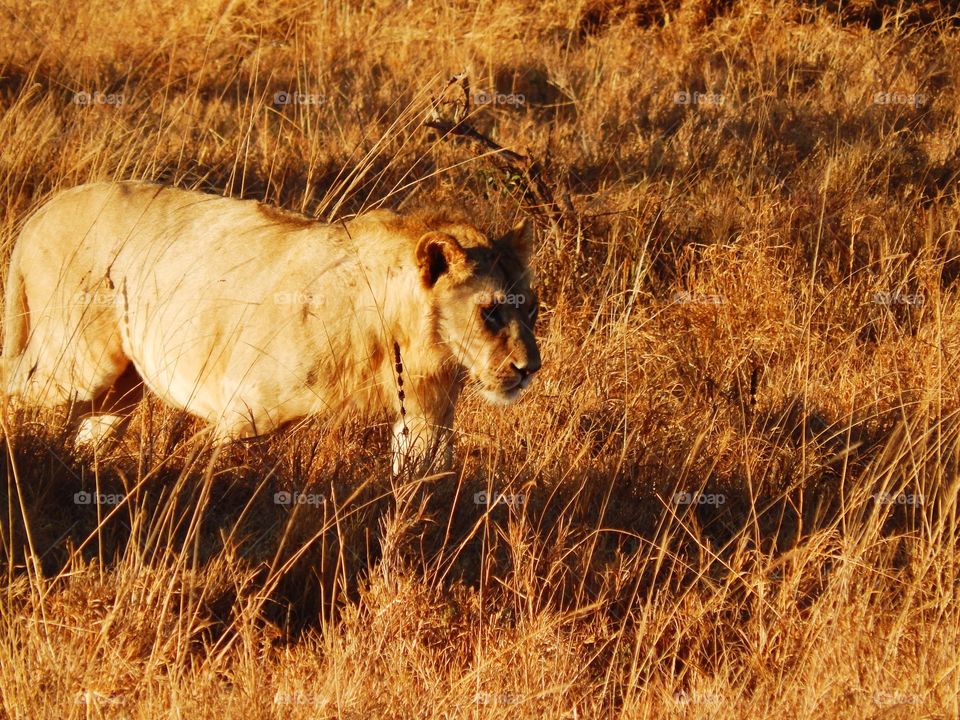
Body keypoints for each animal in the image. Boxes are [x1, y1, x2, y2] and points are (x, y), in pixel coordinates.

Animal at [1, 181, 541, 474]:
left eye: (532, 309)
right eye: (491, 311)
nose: (529, 368)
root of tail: (41, 212)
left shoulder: (426, 422)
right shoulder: (242, 412)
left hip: (119, 388)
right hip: (73, 365)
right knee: (14, 391)